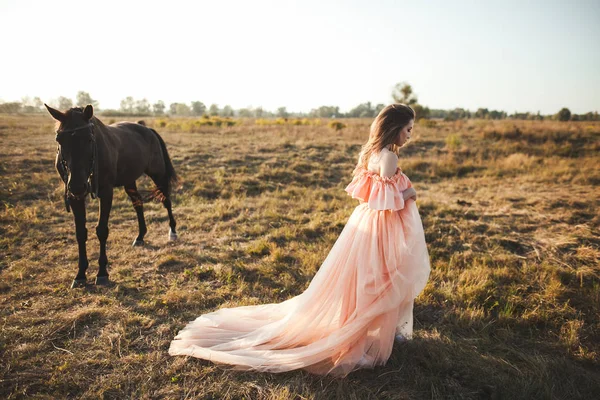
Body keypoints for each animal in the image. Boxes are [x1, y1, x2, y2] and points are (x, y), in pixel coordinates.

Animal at [44, 104, 178, 288]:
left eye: (89, 139)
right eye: (60, 140)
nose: (77, 185)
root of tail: (147, 129)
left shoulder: (106, 192)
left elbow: (102, 231)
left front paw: (102, 273)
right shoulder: (75, 197)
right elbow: (80, 233)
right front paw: (80, 274)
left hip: (158, 174)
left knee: (166, 200)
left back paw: (172, 231)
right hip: (129, 180)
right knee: (138, 203)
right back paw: (140, 236)